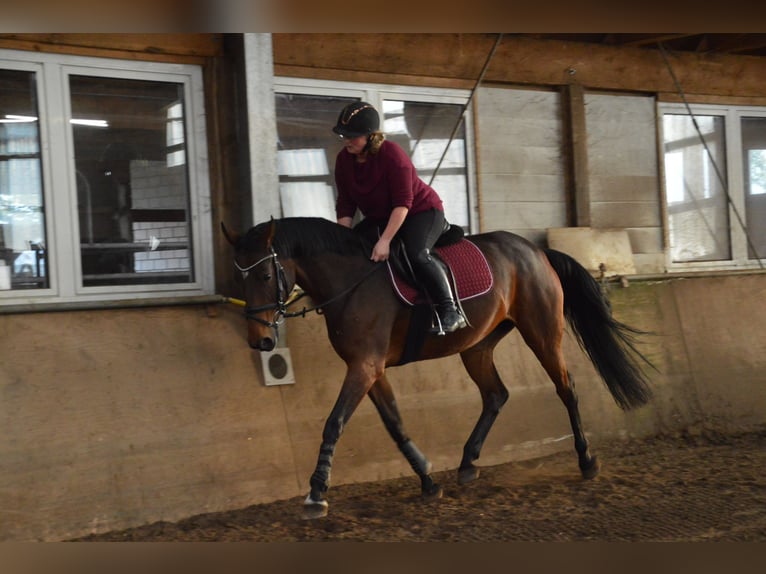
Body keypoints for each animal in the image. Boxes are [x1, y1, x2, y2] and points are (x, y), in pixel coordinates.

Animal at [222, 217, 656, 520]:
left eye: (265, 274)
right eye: (240, 278)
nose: (260, 341)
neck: (350, 282)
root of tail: (535, 250)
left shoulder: (364, 367)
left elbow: (334, 423)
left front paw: (315, 494)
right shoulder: (371, 369)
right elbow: (395, 424)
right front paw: (429, 481)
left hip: (542, 332)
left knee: (566, 389)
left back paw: (586, 461)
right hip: (477, 346)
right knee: (496, 394)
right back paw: (467, 464)